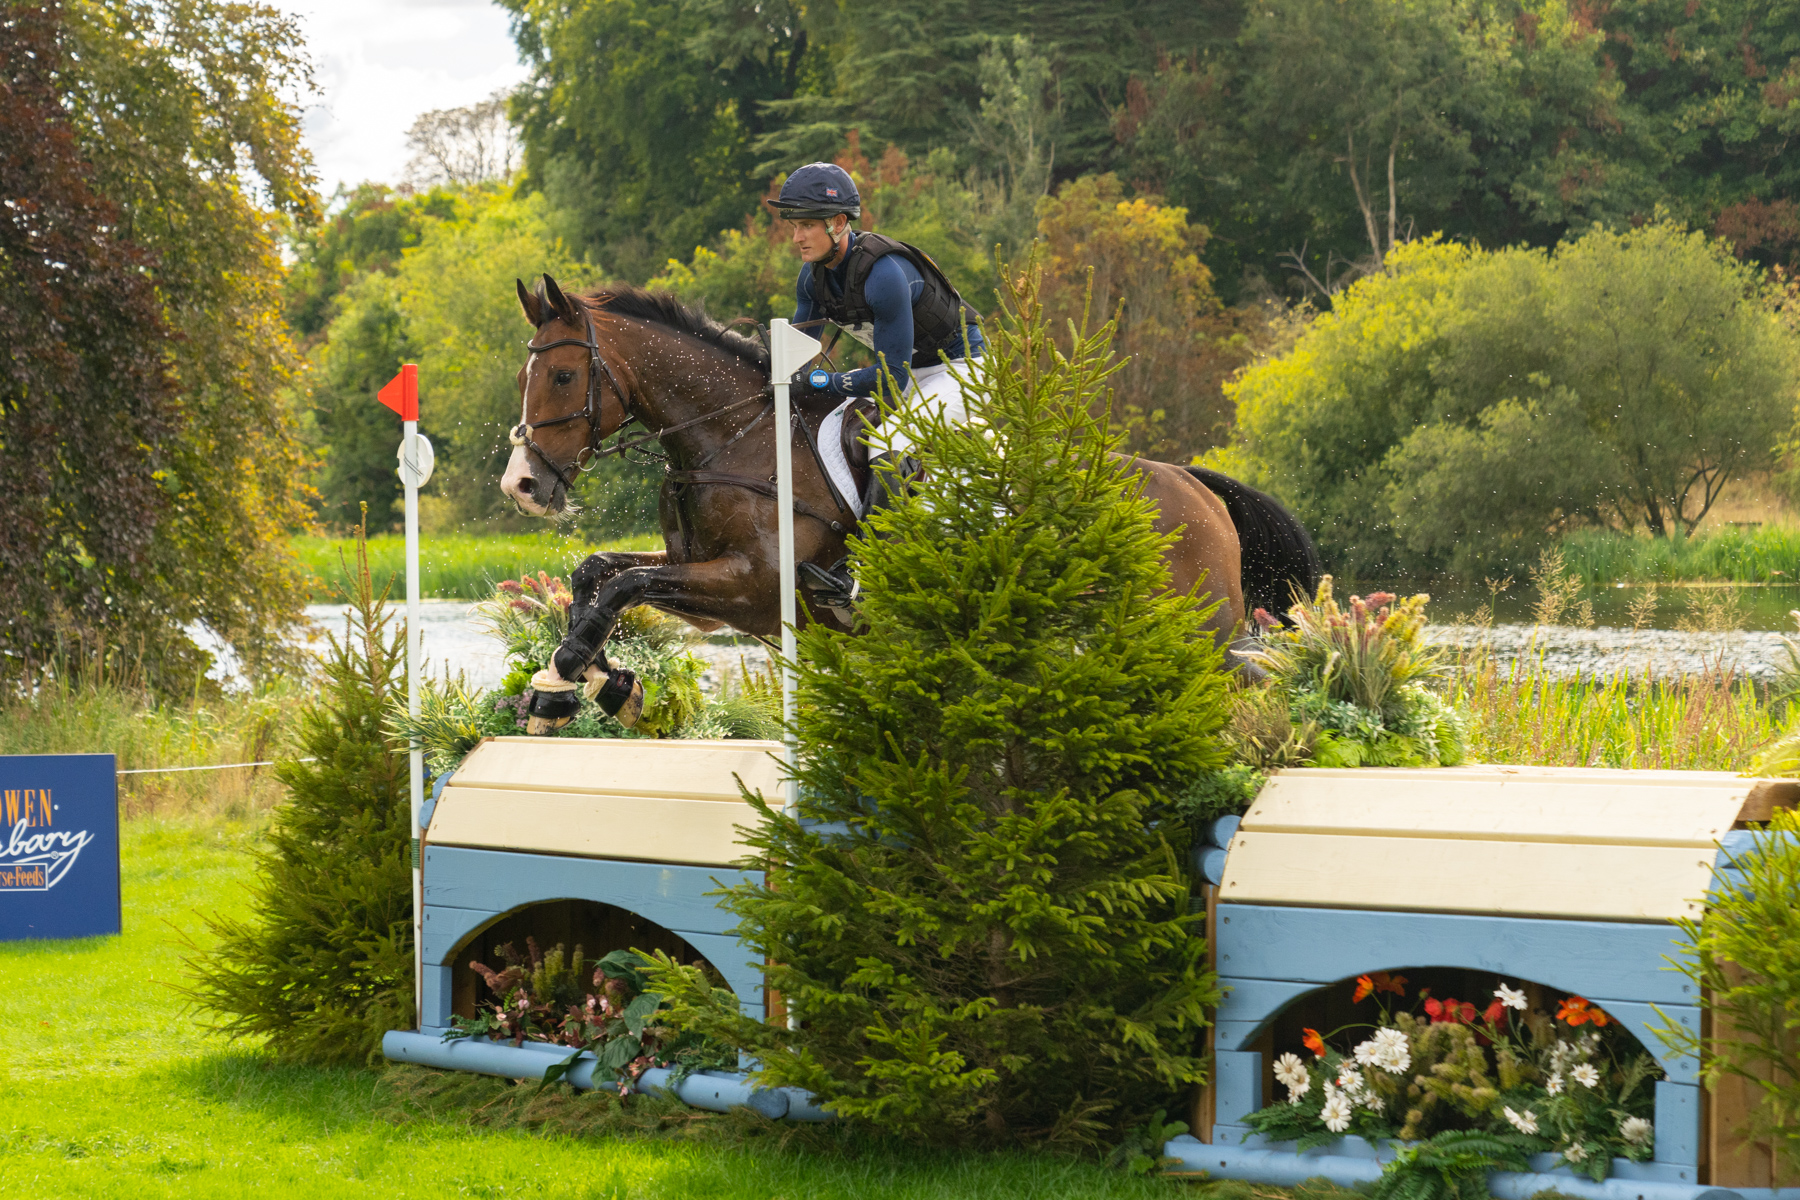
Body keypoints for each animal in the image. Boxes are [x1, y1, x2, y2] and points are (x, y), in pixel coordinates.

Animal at [499, 274, 1320, 730]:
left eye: (565, 376)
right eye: (526, 375)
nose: (523, 486)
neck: (735, 435)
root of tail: (1194, 482)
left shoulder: (753, 584)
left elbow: (624, 585)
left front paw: (564, 674)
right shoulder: (708, 584)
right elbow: (600, 574)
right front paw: (591, 684)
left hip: (1196, 629)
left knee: (1245, 680)